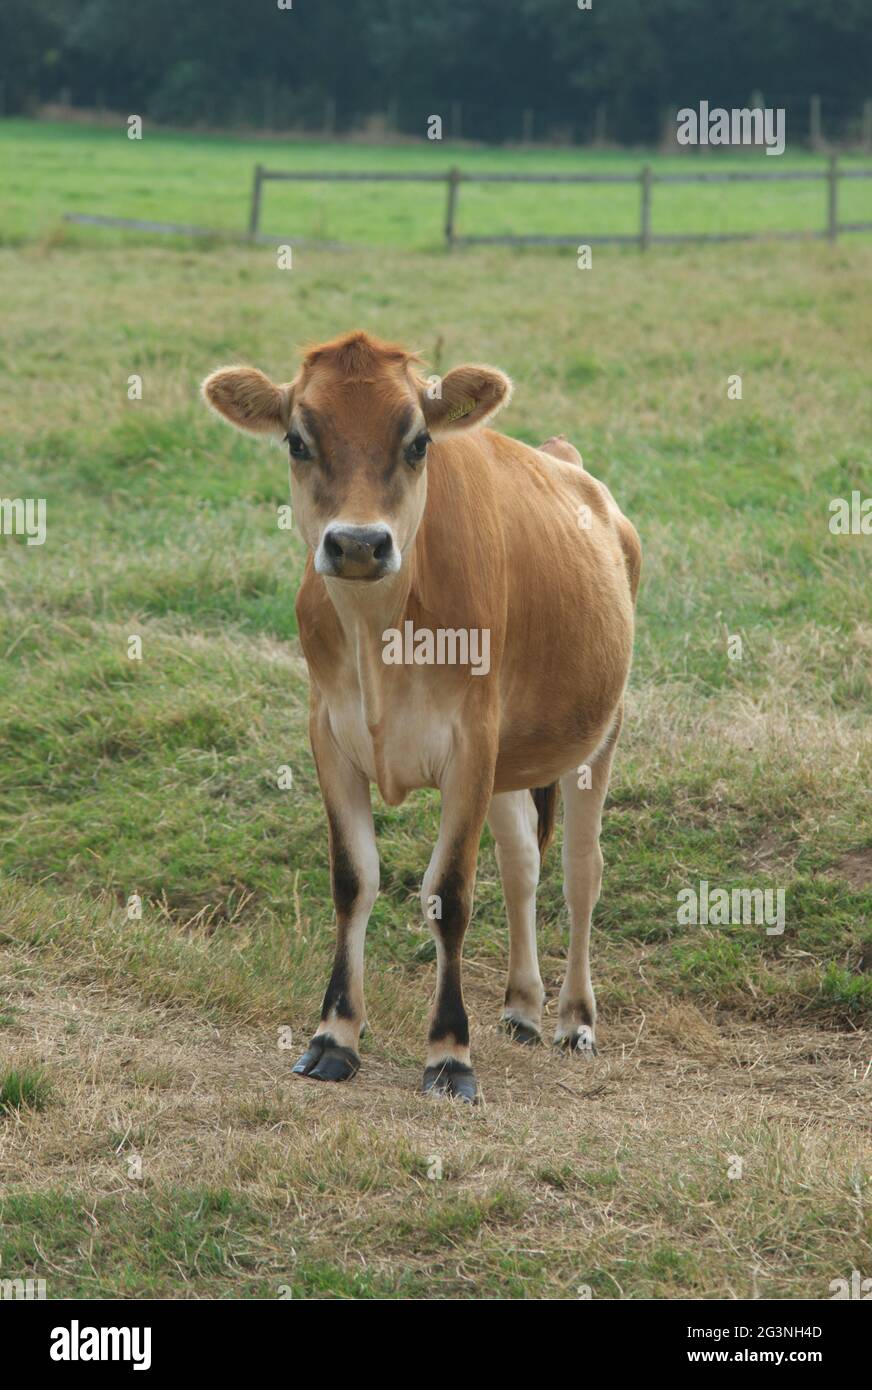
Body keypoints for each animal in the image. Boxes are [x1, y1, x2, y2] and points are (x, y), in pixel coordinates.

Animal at [202, 331, 640, 1102]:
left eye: (418, 442)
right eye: (296, 440)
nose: (356, 543)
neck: (380, 635)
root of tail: (566, 459)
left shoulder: (471, 744)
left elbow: (450, 895)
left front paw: (449, 1052)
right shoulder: (330, 736)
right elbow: (354, 880)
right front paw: (335, 1037)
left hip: (599, 732)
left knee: (581, 871)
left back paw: (574, 1019)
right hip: (512, 760)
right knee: (523, 861)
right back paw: (522, 1007)